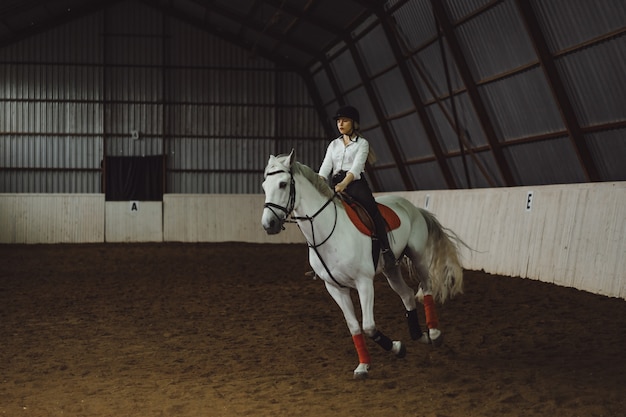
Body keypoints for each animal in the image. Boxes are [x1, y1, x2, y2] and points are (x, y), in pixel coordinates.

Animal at [260, 150, 464, 376]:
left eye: (283, 184)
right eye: (264, 186)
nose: (268, 224)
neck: (330, 232)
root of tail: (413, 207)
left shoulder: (364, 282)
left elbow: (368, 327)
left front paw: (397, 347)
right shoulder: (335, 288)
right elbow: (355, 327)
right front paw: (363, 365)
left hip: (417, 256)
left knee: (426, 287)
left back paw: (434, 333)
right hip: (391, 269)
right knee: (407, 295)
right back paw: (419, 335)